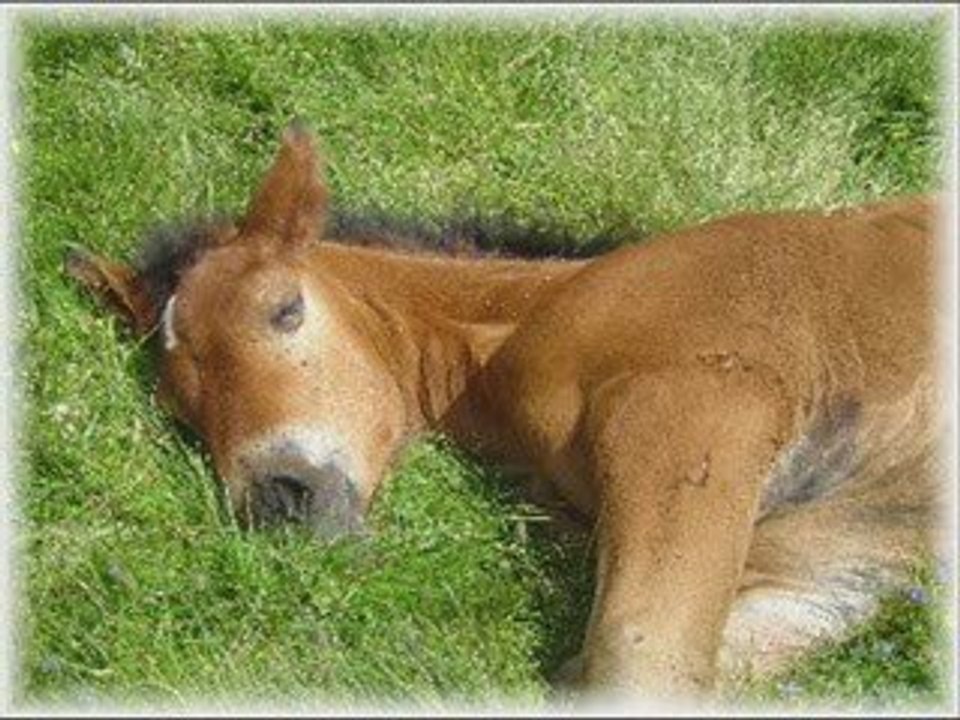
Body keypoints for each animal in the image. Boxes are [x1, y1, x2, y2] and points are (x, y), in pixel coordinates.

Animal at [66, 123, 948, 704]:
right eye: (179, 405)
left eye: (286, 310)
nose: (281, 503)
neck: (515, 326)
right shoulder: (825, 574)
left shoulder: (699, 405)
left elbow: (639, 662)